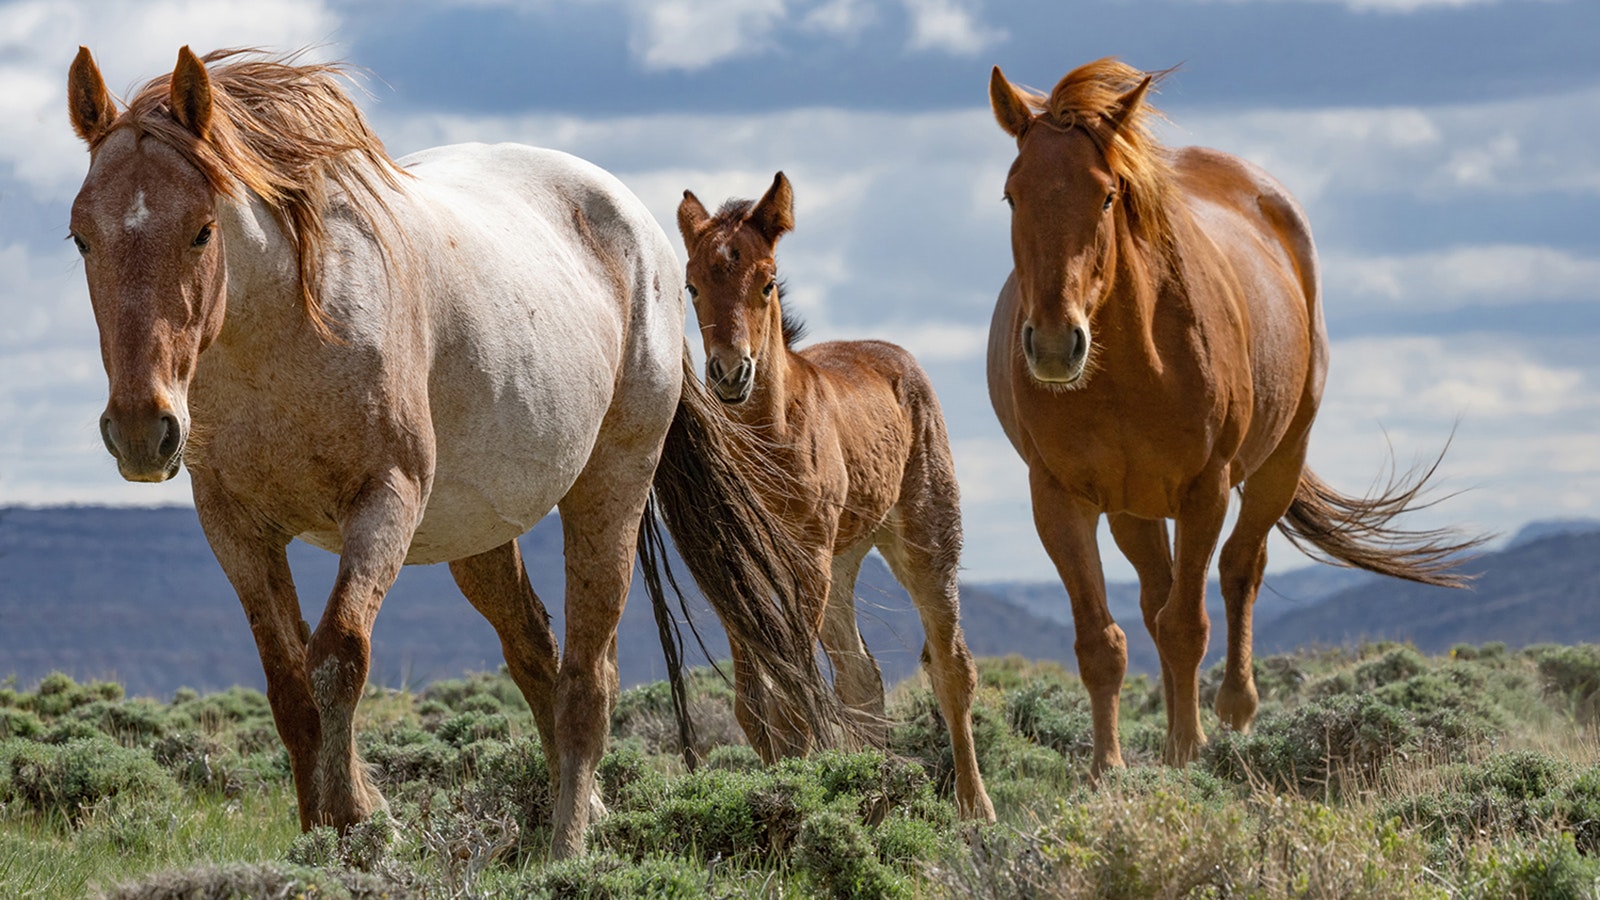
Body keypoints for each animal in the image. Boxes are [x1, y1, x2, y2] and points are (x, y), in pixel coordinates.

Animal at [66, 46, 844, 859]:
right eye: (81, 236)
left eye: (201, 230)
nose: (140, 429)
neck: (285, 334)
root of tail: (644, 231)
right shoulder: (234, 524)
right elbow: (288, 685)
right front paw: (329, 828)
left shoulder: (385, 499)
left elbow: (338, 658)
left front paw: (357, 821)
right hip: (479, 533)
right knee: (534, 648)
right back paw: (588, 814)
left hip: (610, 490)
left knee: (587, 677)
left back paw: (568, 846)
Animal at [675, 173, 995, 821]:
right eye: (691, 285)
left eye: (767, 281)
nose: (730, 375)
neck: (769, 438)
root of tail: (899, 357)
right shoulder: (730, 564)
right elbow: (757, 705)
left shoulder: (806, 558)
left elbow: (794, 696)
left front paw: (796, 798)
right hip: (843, 562)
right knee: (861, 678)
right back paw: (876, 798)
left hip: (921, 539)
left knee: (951, 667)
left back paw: (976, 812)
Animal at [985, 59, 1480, 774]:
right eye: (1012, 195)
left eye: (1106, 195)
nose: (1054, 344)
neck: (1127, 366)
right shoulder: (1058, 496)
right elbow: (1102, 641)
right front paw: (1108, 768)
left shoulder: (1206, 488)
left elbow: (1187, 625)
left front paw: (1188, 750)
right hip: (1134, 506)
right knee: (1156, 596)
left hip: (1279, 461)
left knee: (1239, 570)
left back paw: (1234, 711)